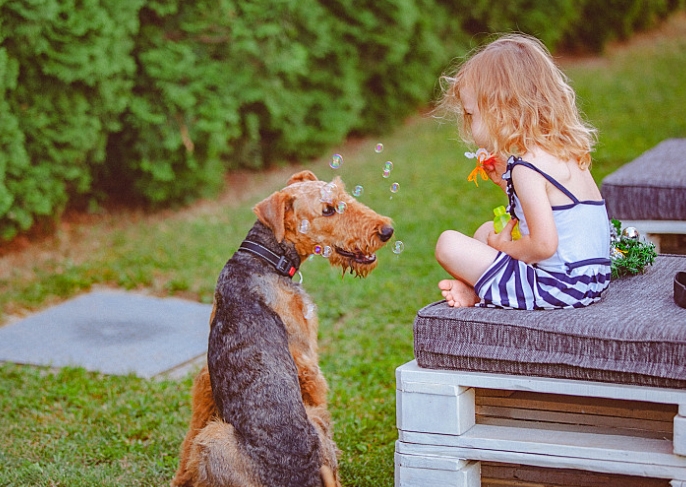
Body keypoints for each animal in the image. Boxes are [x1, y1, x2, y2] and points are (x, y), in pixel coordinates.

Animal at [172, 171, 396, 487]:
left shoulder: (206, 376)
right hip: (223, 435)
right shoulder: (307, 363)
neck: (263, 258)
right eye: (328, 209)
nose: (387, 230)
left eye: (344, 196)